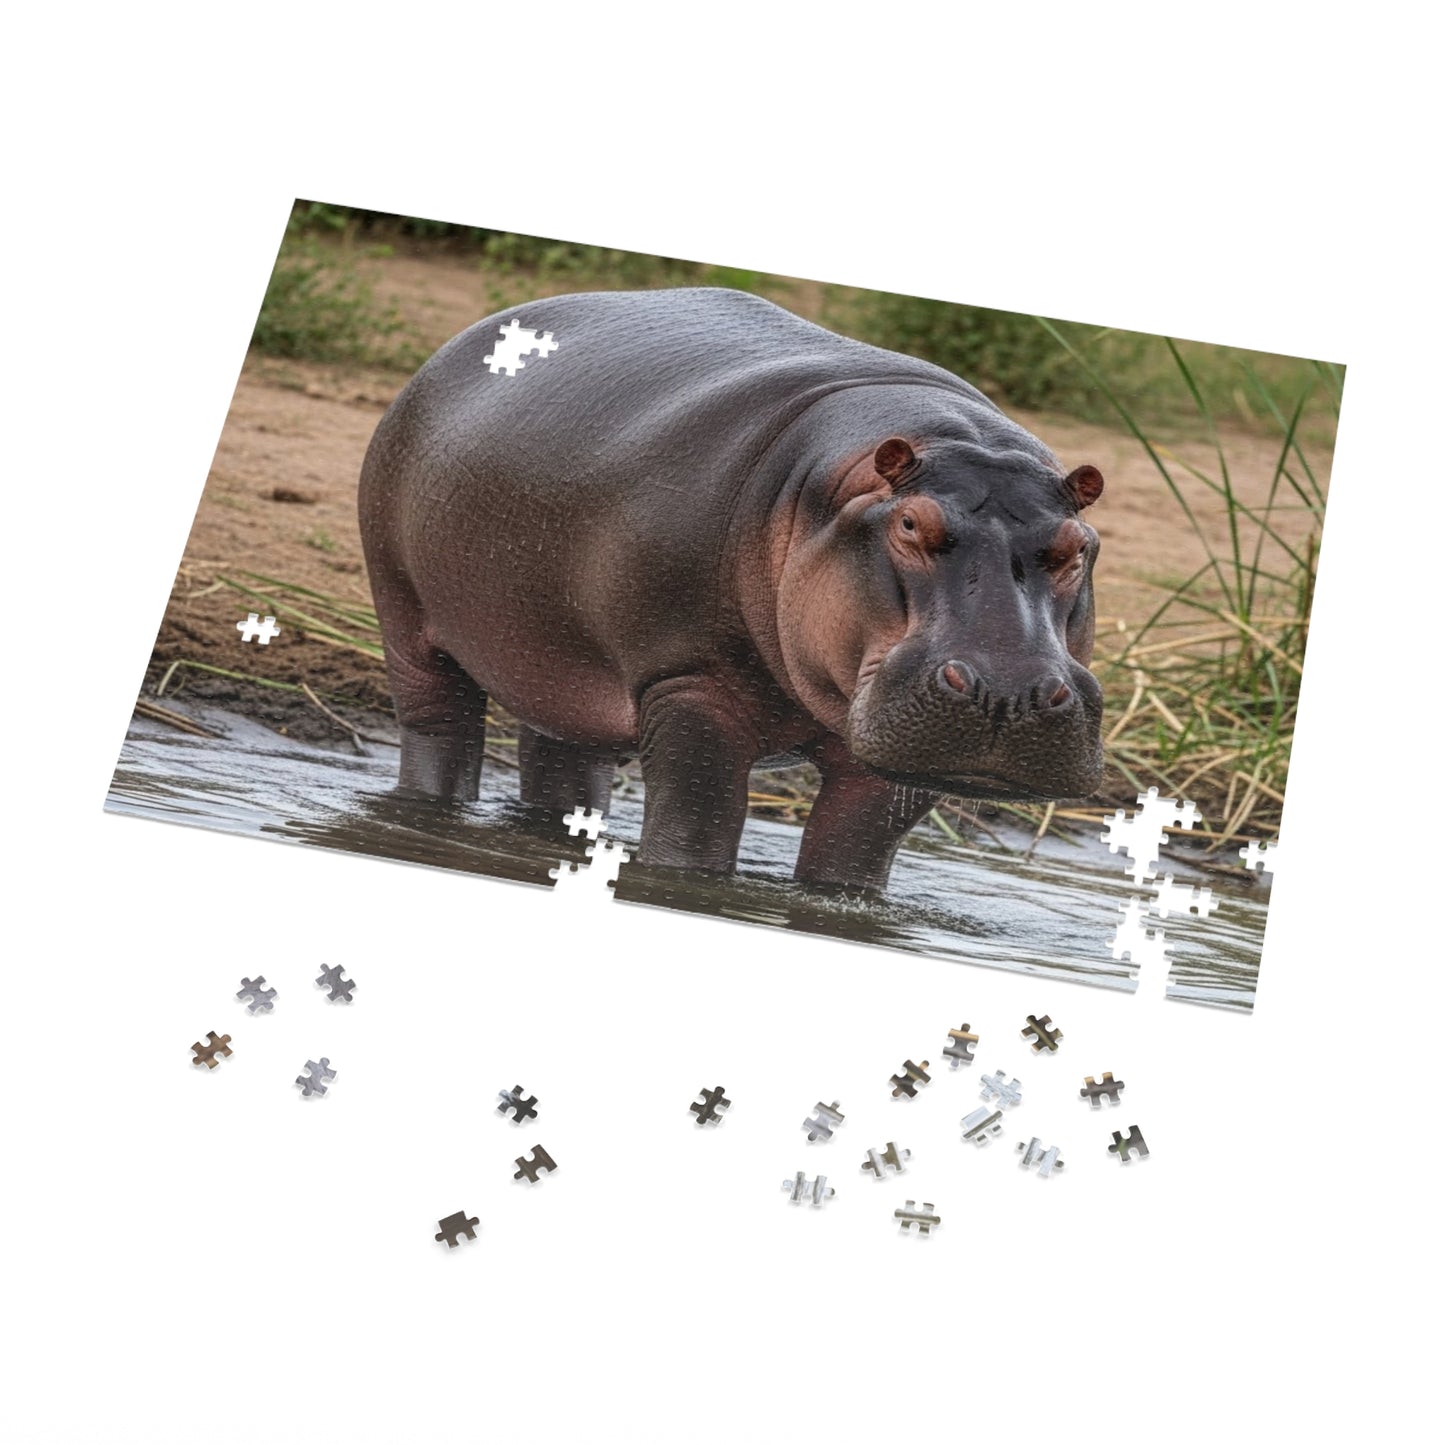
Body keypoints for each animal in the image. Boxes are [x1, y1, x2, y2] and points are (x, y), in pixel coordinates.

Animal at [358, 287, 1105, 890]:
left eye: (1078, 546)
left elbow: (854, 853)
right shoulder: (690, 682)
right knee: (440, 728)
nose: (1007, 691)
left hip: (558, 663)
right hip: (404, 616)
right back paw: (426, 809)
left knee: (564, 763)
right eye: (910, 523)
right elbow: (697, 823)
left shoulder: (892, 756)